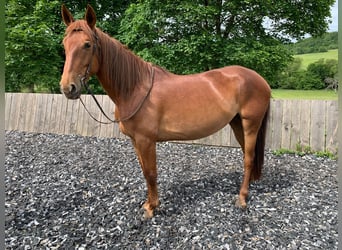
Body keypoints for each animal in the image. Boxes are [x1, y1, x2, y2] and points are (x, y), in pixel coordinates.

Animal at [60, 4, 270, 218]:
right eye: (64, 44)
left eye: (87, 45)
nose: (68, 88)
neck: (135, 88)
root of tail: (259, 79)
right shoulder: (136, 140)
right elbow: (144, 171)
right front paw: (148, 203)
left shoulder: (146, 140)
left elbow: (151, 173)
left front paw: (152, 208)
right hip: (237, 123)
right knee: (248, 155)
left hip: (250, 124)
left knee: (249, 158)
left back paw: (242, 198)